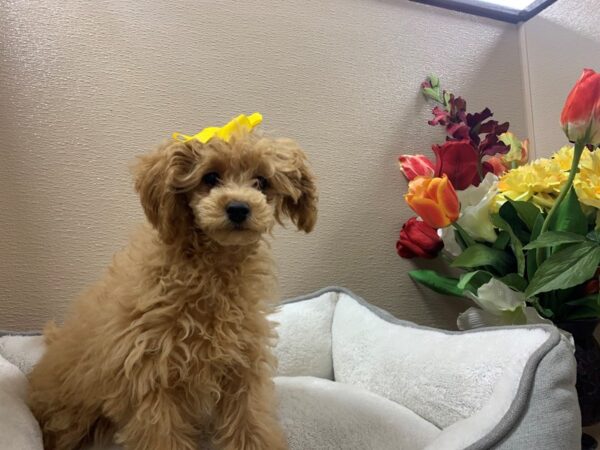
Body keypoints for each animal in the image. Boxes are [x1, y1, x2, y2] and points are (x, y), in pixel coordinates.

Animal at [27, 129, 318, 450]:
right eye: (210, 177)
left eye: (262, 182)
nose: (239, 208)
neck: (213, 270)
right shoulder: (152, 379)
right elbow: (163, 436)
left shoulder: (242, 367)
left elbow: (250, 424)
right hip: (70, 418)